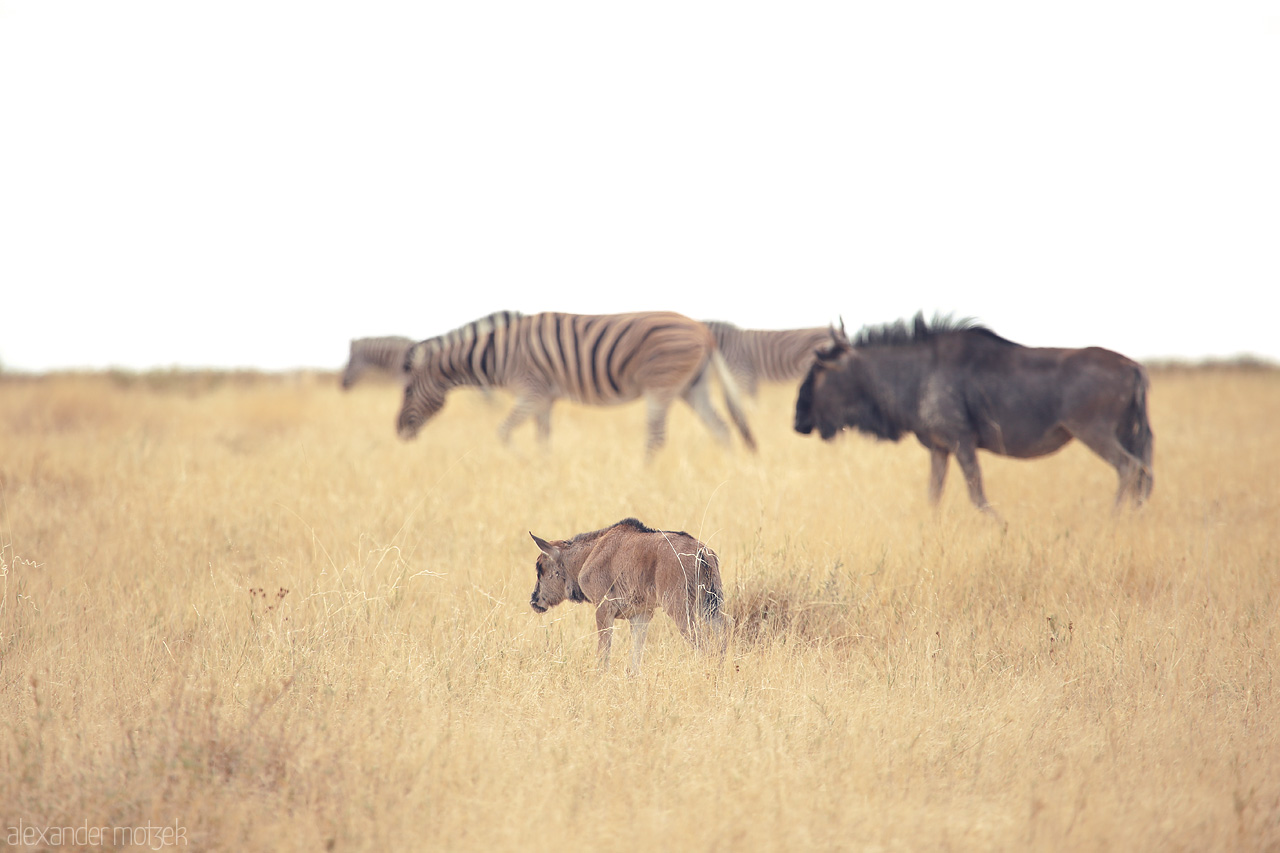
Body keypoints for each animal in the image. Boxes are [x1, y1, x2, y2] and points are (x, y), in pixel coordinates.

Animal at [399, 308, 752, 455]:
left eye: (407, 389)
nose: (398, 431)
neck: (498, 353)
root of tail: (703, 330)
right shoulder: (544, 398)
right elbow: (543, 438)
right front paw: (542, 468)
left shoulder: (531, 391)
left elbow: (502, 432)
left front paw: (521, 462)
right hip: (693, 386)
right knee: (721, 428)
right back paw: (729, 468)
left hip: (661, 385)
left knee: (656, 438)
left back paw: (642, 476)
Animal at [532, 517, 732, 671]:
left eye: (540, 568)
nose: (534, 600)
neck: (591, 552)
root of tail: (701, 551)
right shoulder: (640, 615)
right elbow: (635, 658)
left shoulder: (603, 609)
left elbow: (604, 651)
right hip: (710, 608)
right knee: (722, 635)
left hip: (680, 611)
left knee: (703, 643)